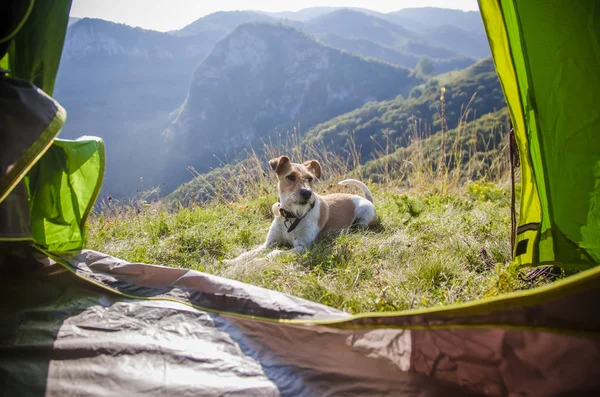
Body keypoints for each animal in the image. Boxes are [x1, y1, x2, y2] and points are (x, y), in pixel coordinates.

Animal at [227, 155, 378, 262]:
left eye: (310, 178)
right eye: (290, 177)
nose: (307, 193)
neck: (291, 216)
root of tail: (367, 199)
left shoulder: (302, 246)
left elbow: (274, 253)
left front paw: (259, 261)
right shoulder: (269, 243)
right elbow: (248, 253)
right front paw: (230, 262)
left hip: (364, 215)